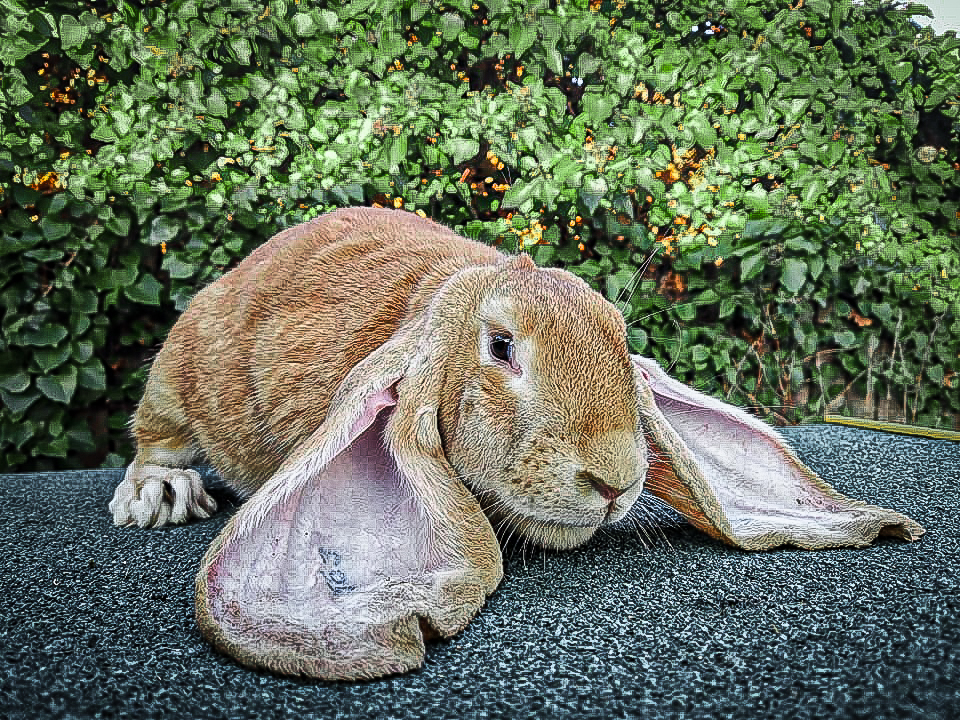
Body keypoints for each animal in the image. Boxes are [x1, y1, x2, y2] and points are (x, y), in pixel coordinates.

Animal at [109, 206, 924, 681]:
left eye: (620, 344)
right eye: (501, 348)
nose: (615, 480)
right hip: (179, 371)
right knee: (160, 433)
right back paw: (159, 495)